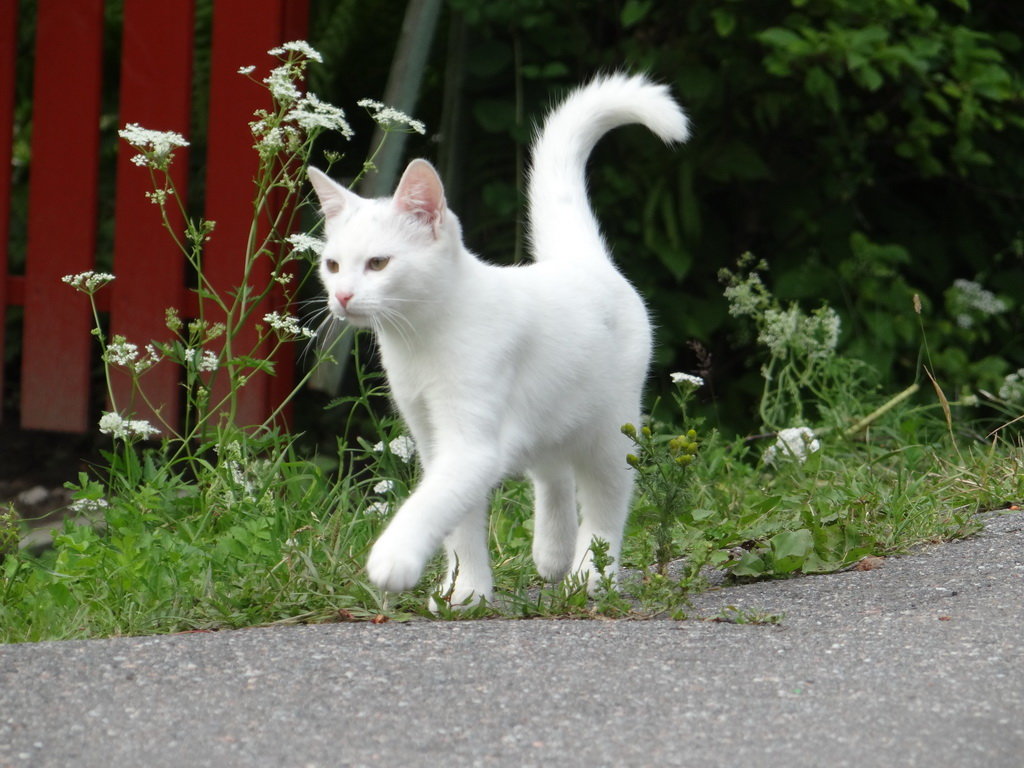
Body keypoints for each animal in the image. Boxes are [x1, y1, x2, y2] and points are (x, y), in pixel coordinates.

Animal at [303, 73, 688, 606]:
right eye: (333, 264)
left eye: (378, 263)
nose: (341, 296)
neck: (421, 339)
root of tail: (581, 257)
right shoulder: (432, 437)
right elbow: (459, 522)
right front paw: (466, 591)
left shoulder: (471, 445)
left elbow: (431, 503)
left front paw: (395, 559)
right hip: (548, 413)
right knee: (553, 473)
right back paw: (552, 551)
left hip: (610, 429)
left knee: (606, 502)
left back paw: (591, 574)